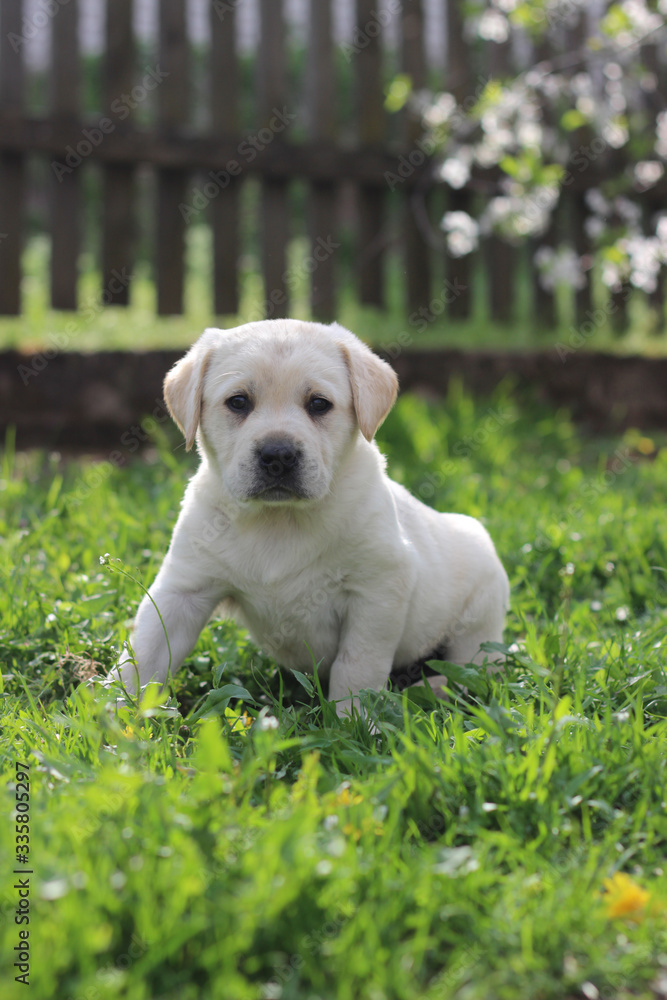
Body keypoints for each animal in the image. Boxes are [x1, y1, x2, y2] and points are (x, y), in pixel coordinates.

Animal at [109, 320, 508, 712]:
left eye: (318, 404)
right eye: (238, 402)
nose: (278, 455)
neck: (279, 519)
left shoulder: (377, 589)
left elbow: (357, 666)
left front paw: (352, 722)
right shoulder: (183, 589)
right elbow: (144, 655)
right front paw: (113, 714)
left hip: (480, 616)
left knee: (473, 670)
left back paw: (437, 690)